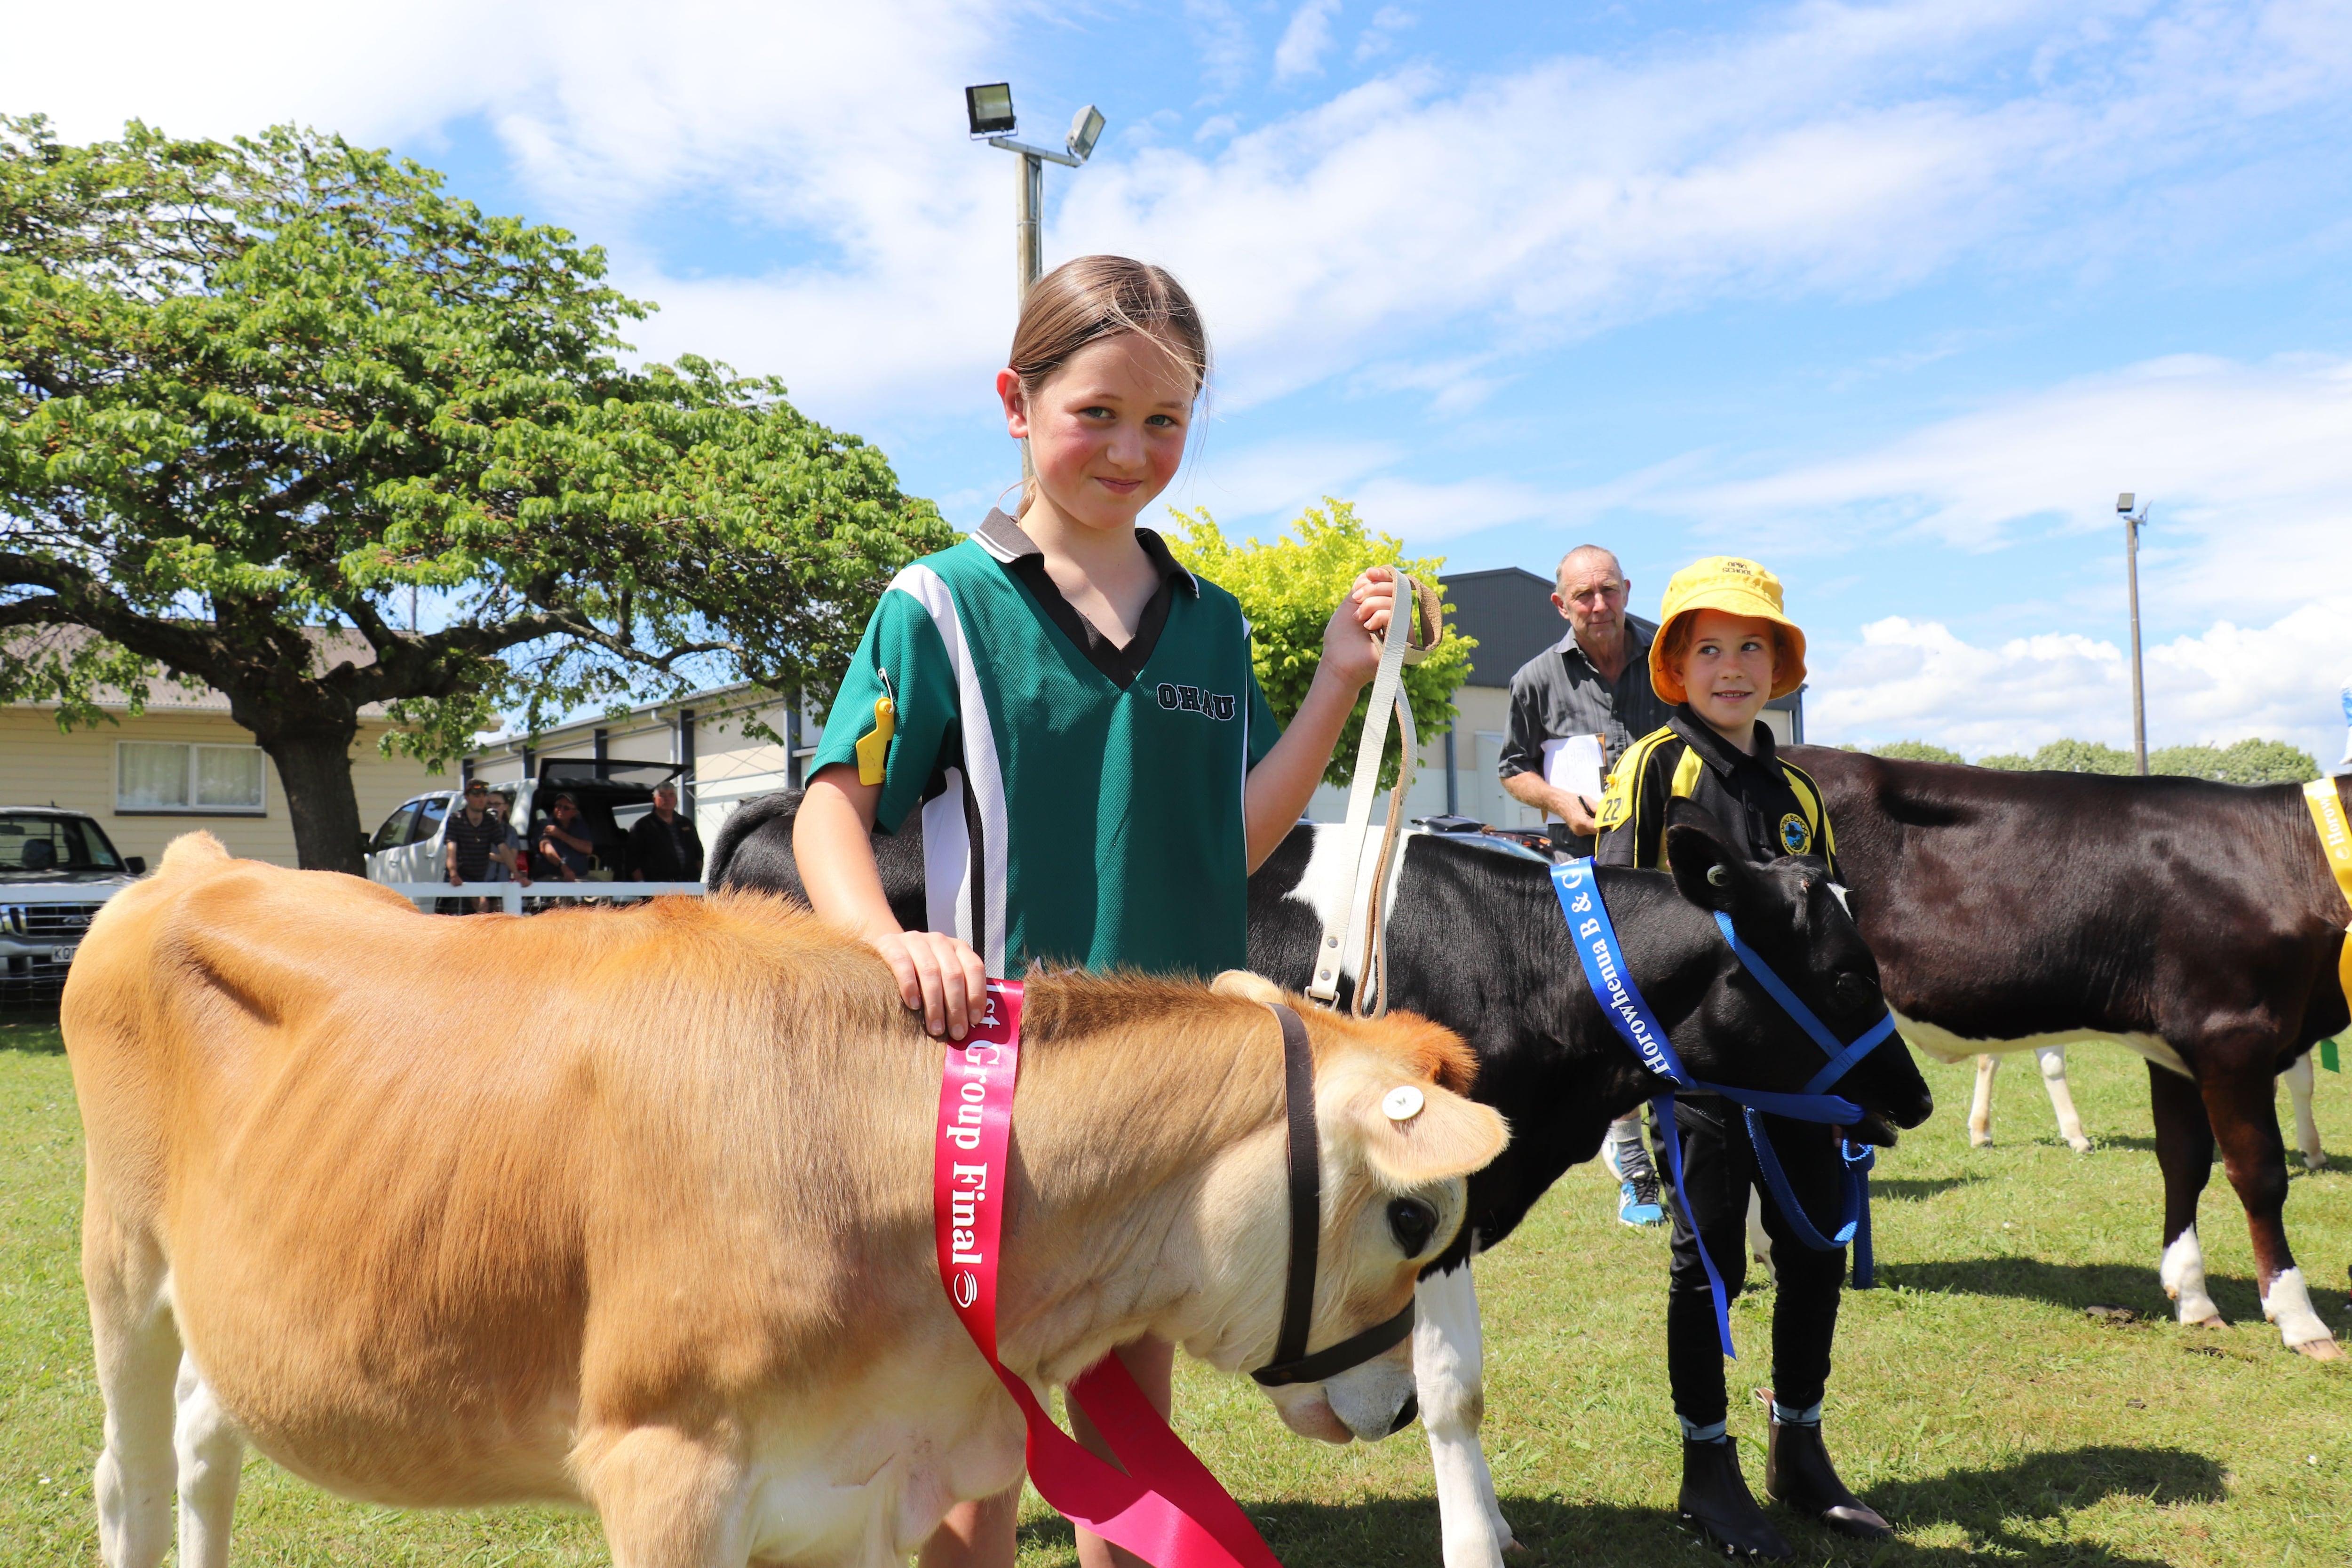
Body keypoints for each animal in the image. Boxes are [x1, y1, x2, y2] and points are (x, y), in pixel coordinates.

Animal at [69, 841, 1505, 1568]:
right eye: (1416, 1219)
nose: (1394, 1404)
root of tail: (196, 858)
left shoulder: (856, 1491)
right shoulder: (665, 1471)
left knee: (204, 1441)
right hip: (121, 1266)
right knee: (126, 1474)